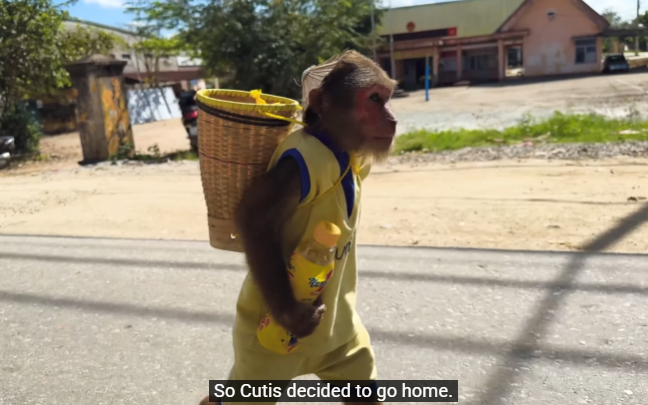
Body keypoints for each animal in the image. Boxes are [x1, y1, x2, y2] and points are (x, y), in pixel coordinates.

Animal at [199, 50, 397, 405]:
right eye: (374, 99)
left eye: (386, 99)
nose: (393, 119)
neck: (332, 143)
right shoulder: (295, 167)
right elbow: (254, 219)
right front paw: (294, 317)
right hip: (259, 363)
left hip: (334, 351)